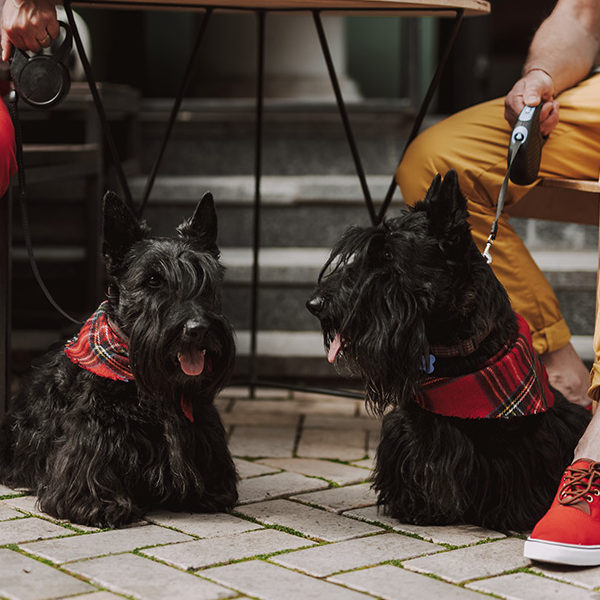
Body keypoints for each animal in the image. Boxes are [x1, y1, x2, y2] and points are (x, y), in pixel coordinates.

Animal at [0, 190, 238, 528]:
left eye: (204, 278)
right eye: (152, 280)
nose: (198, 329)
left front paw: (210, 493)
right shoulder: (94, 430)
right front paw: (99, 505)